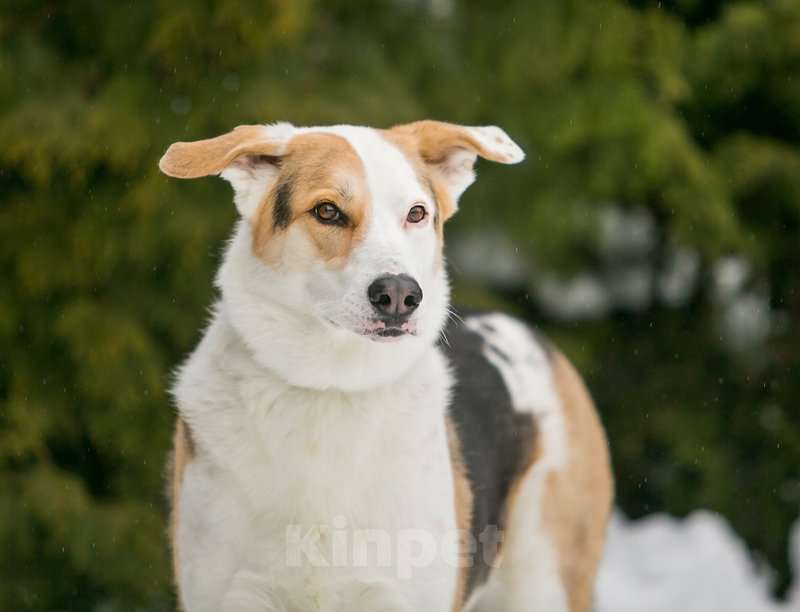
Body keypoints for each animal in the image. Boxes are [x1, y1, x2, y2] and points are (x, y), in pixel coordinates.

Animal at [161, 120, 612, 612]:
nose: (399, 294)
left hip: (545, 578)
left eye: (417, 213)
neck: (333, 388)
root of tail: (531, 332)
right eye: (327, 211)